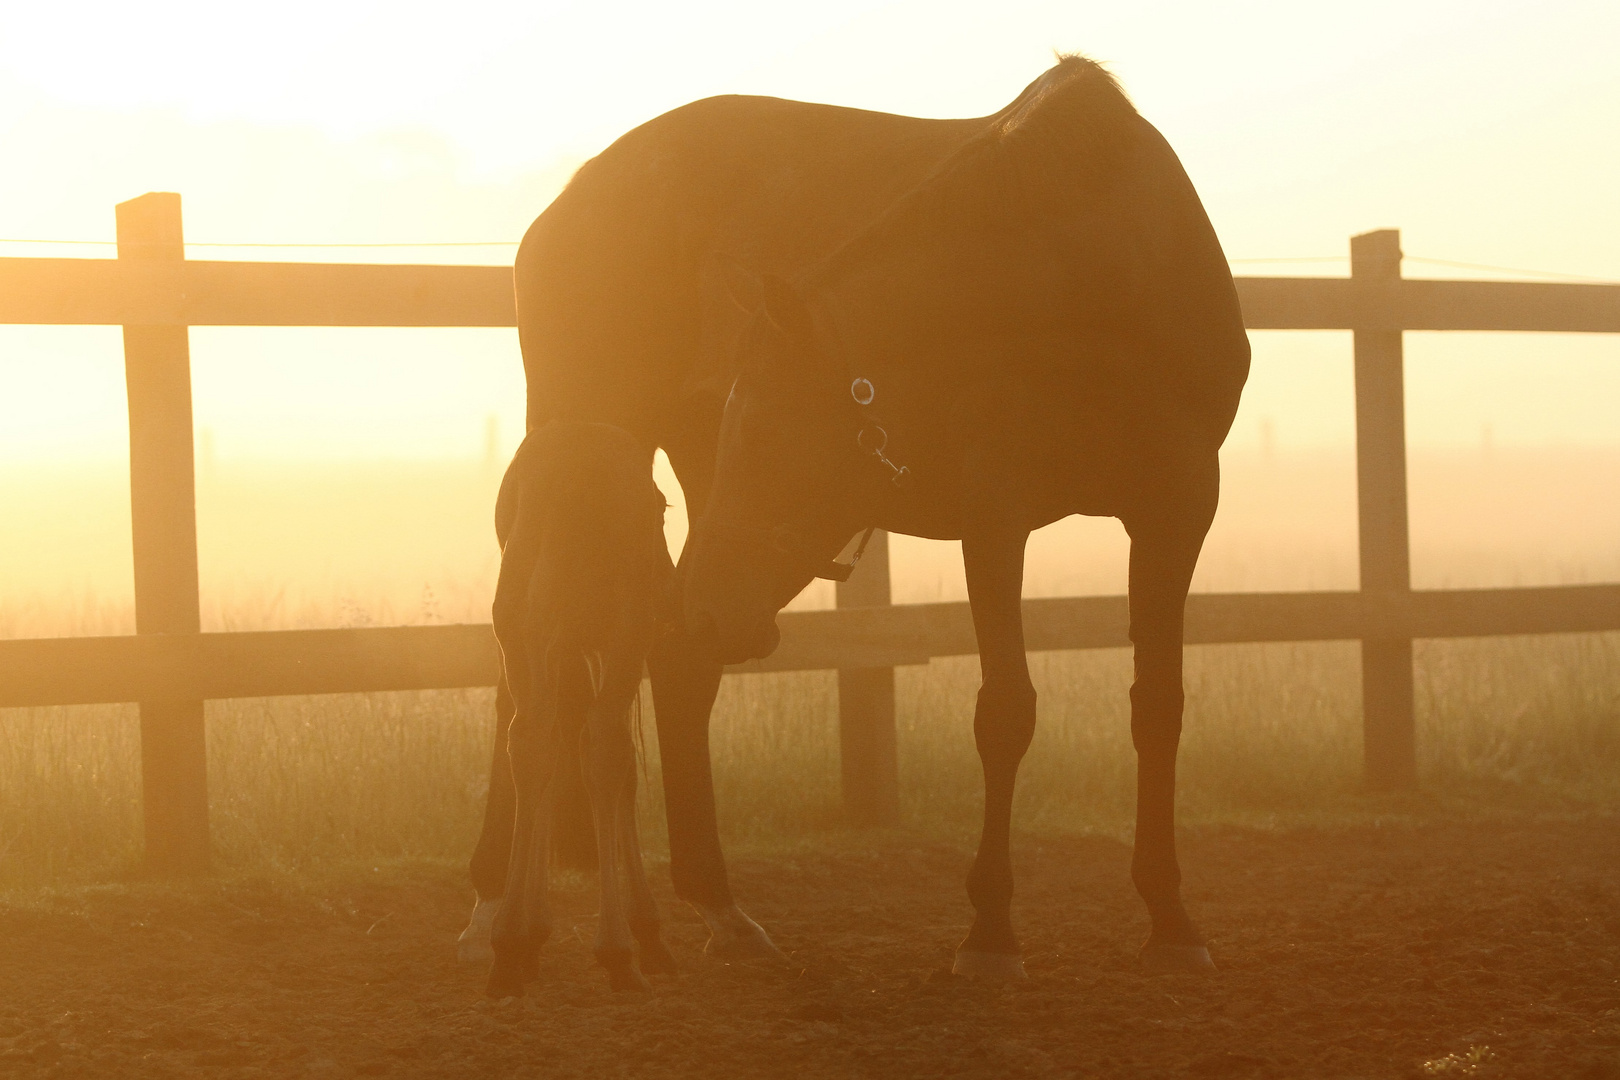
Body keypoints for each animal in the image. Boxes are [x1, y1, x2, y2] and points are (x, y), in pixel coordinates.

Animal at [482, 420, 680, 997]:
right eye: (661, 510)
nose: (670, 595)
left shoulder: (560, 646)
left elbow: (558, 753)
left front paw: (530, 934)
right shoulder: (613, 643)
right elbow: (614, 762)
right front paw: (636, 935)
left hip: (521, 630)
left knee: (531, 742)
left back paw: (511, 942)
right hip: (617, 632)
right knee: (598, 749)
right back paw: (613, 948)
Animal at [683, 55, 1250, 977]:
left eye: (763, 431)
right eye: (725, 427)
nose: (701, 611)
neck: (1093, 280)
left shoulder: (1177, 508)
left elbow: (1158, 705)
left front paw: (1170, 915)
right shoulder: (994, 519)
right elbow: (1005, 712)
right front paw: (989, 928)